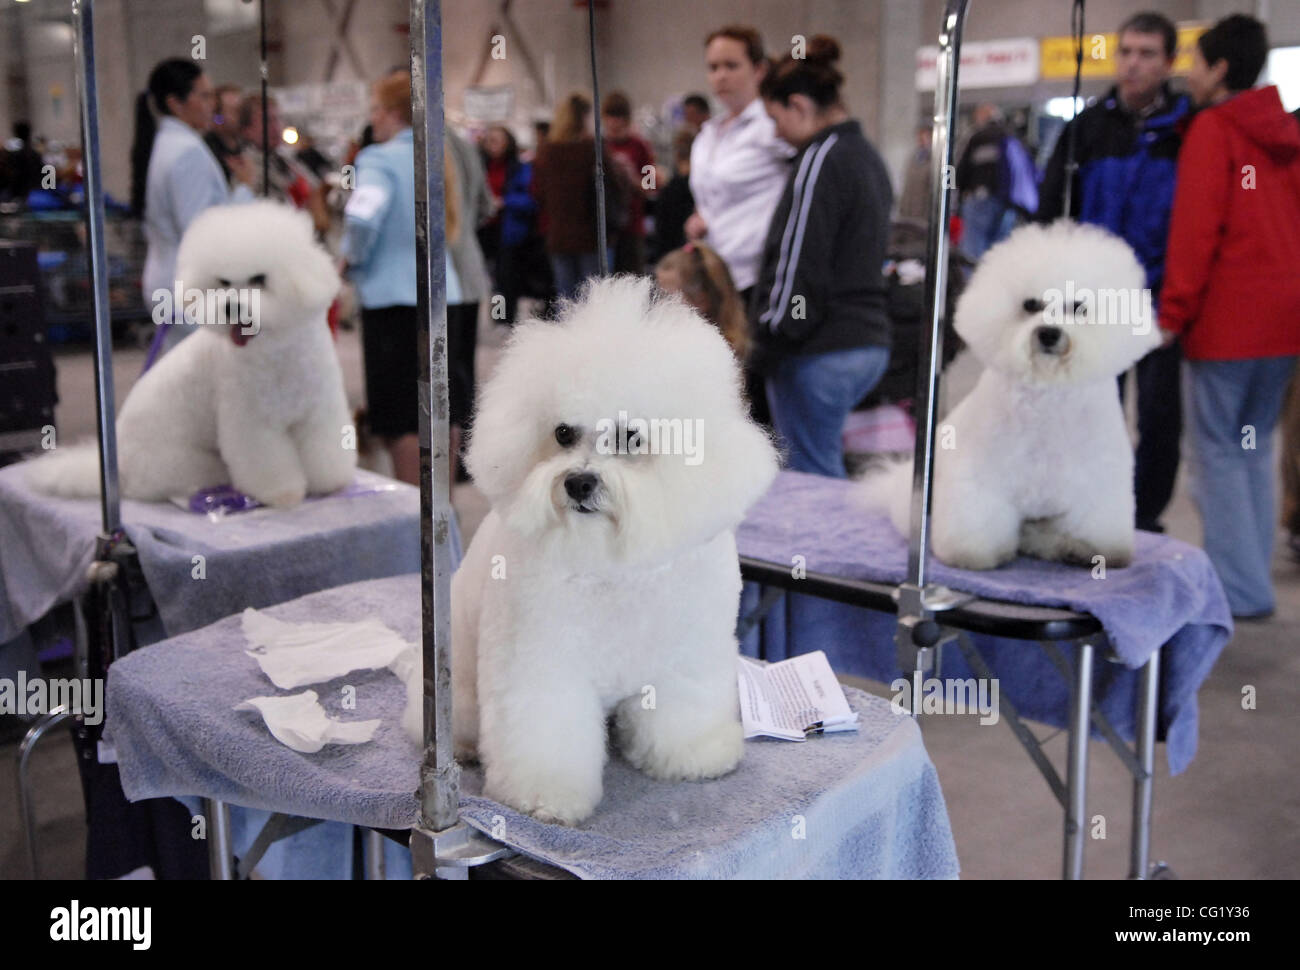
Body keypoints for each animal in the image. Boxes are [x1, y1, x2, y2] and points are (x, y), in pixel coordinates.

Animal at [29, 201, 356, 507]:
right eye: (223, 283)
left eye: (259, 279)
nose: (231, 307)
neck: (277, 352)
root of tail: (117, 468)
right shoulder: (252, 423)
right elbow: (267, 461)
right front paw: (283, 494)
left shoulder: (320, 409)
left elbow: (324, 448)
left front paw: (331, 481)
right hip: (188, 464)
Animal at [400, 274, 774, 821]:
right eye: (562, 433)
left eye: (630, 437)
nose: (578, 483)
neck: (617, 567)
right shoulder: (542, 662)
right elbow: (545, 728)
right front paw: (544, 795)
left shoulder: (689, 650)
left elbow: (683, 707)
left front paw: (693, 755)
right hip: (457, 685)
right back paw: (464, 747)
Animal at [863, 219, 1159, 566]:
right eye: (1030, 305)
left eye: (1077, 307)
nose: (1048, 333)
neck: (1048, 392)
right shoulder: (981, 478)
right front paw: (972, 554)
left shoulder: (1098, 482)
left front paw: (1089, 549)